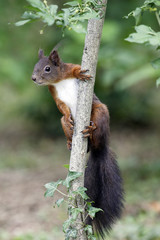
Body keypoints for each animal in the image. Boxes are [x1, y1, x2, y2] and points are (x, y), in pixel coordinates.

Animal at [31, 47, 124, 237]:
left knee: (98, 130)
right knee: (65, 124)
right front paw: (68, 115)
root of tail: (100, 150)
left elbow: (76, 67)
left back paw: (91, 131)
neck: (59, 81)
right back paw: (70, 141)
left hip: (100, 111)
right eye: (35, 66)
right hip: (65, 125)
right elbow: (61, 107)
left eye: (47, 68)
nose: (33, 78)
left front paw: (80, 73)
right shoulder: (54, 93)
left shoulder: (68, 68)